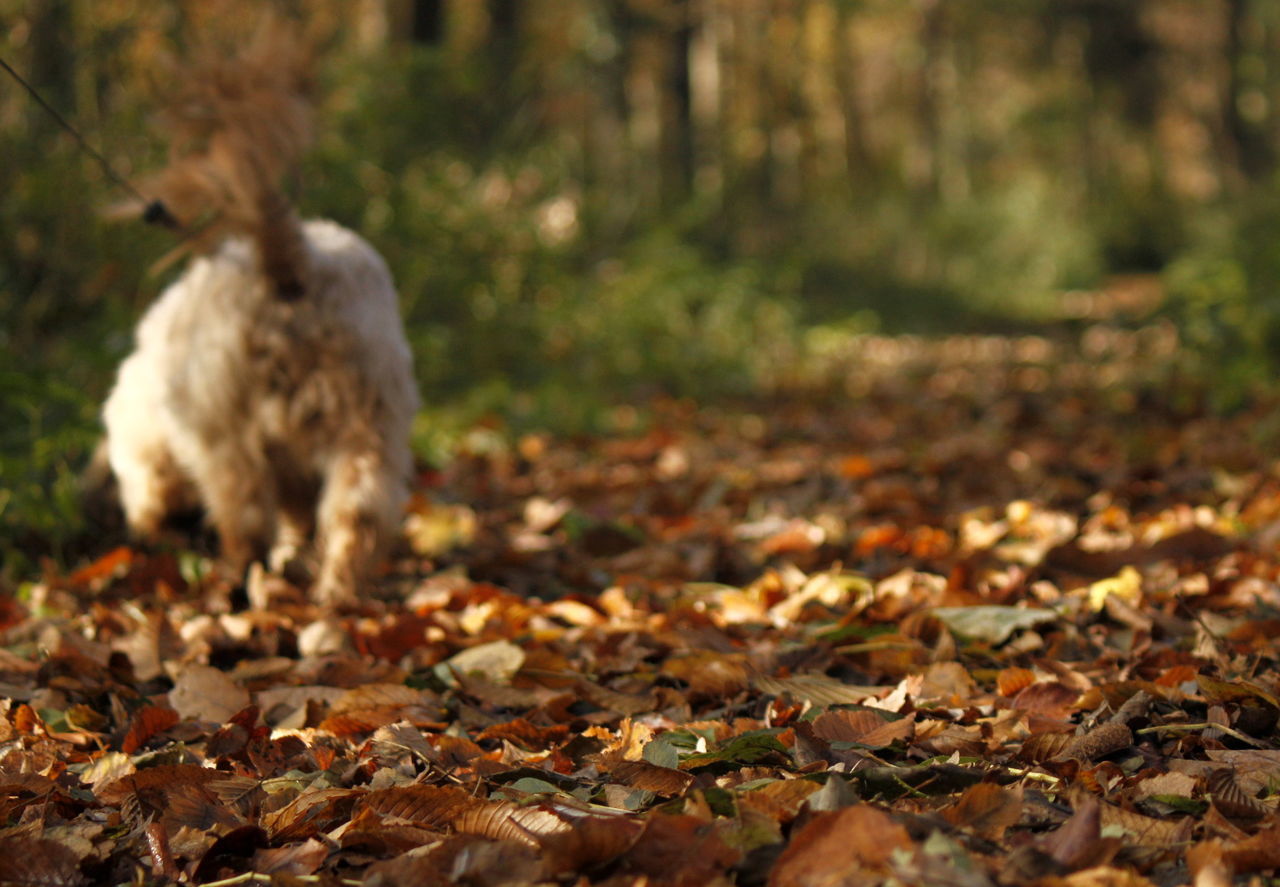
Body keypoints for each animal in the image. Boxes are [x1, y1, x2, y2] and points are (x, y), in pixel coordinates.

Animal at [102, 31, 419, 606]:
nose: (151, 526)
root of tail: (291, 263)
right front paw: (297, 549)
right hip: (373, 416)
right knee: (359, 510)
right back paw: (335, 591)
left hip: (226, 434)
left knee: (245, 519)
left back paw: (240, 579)